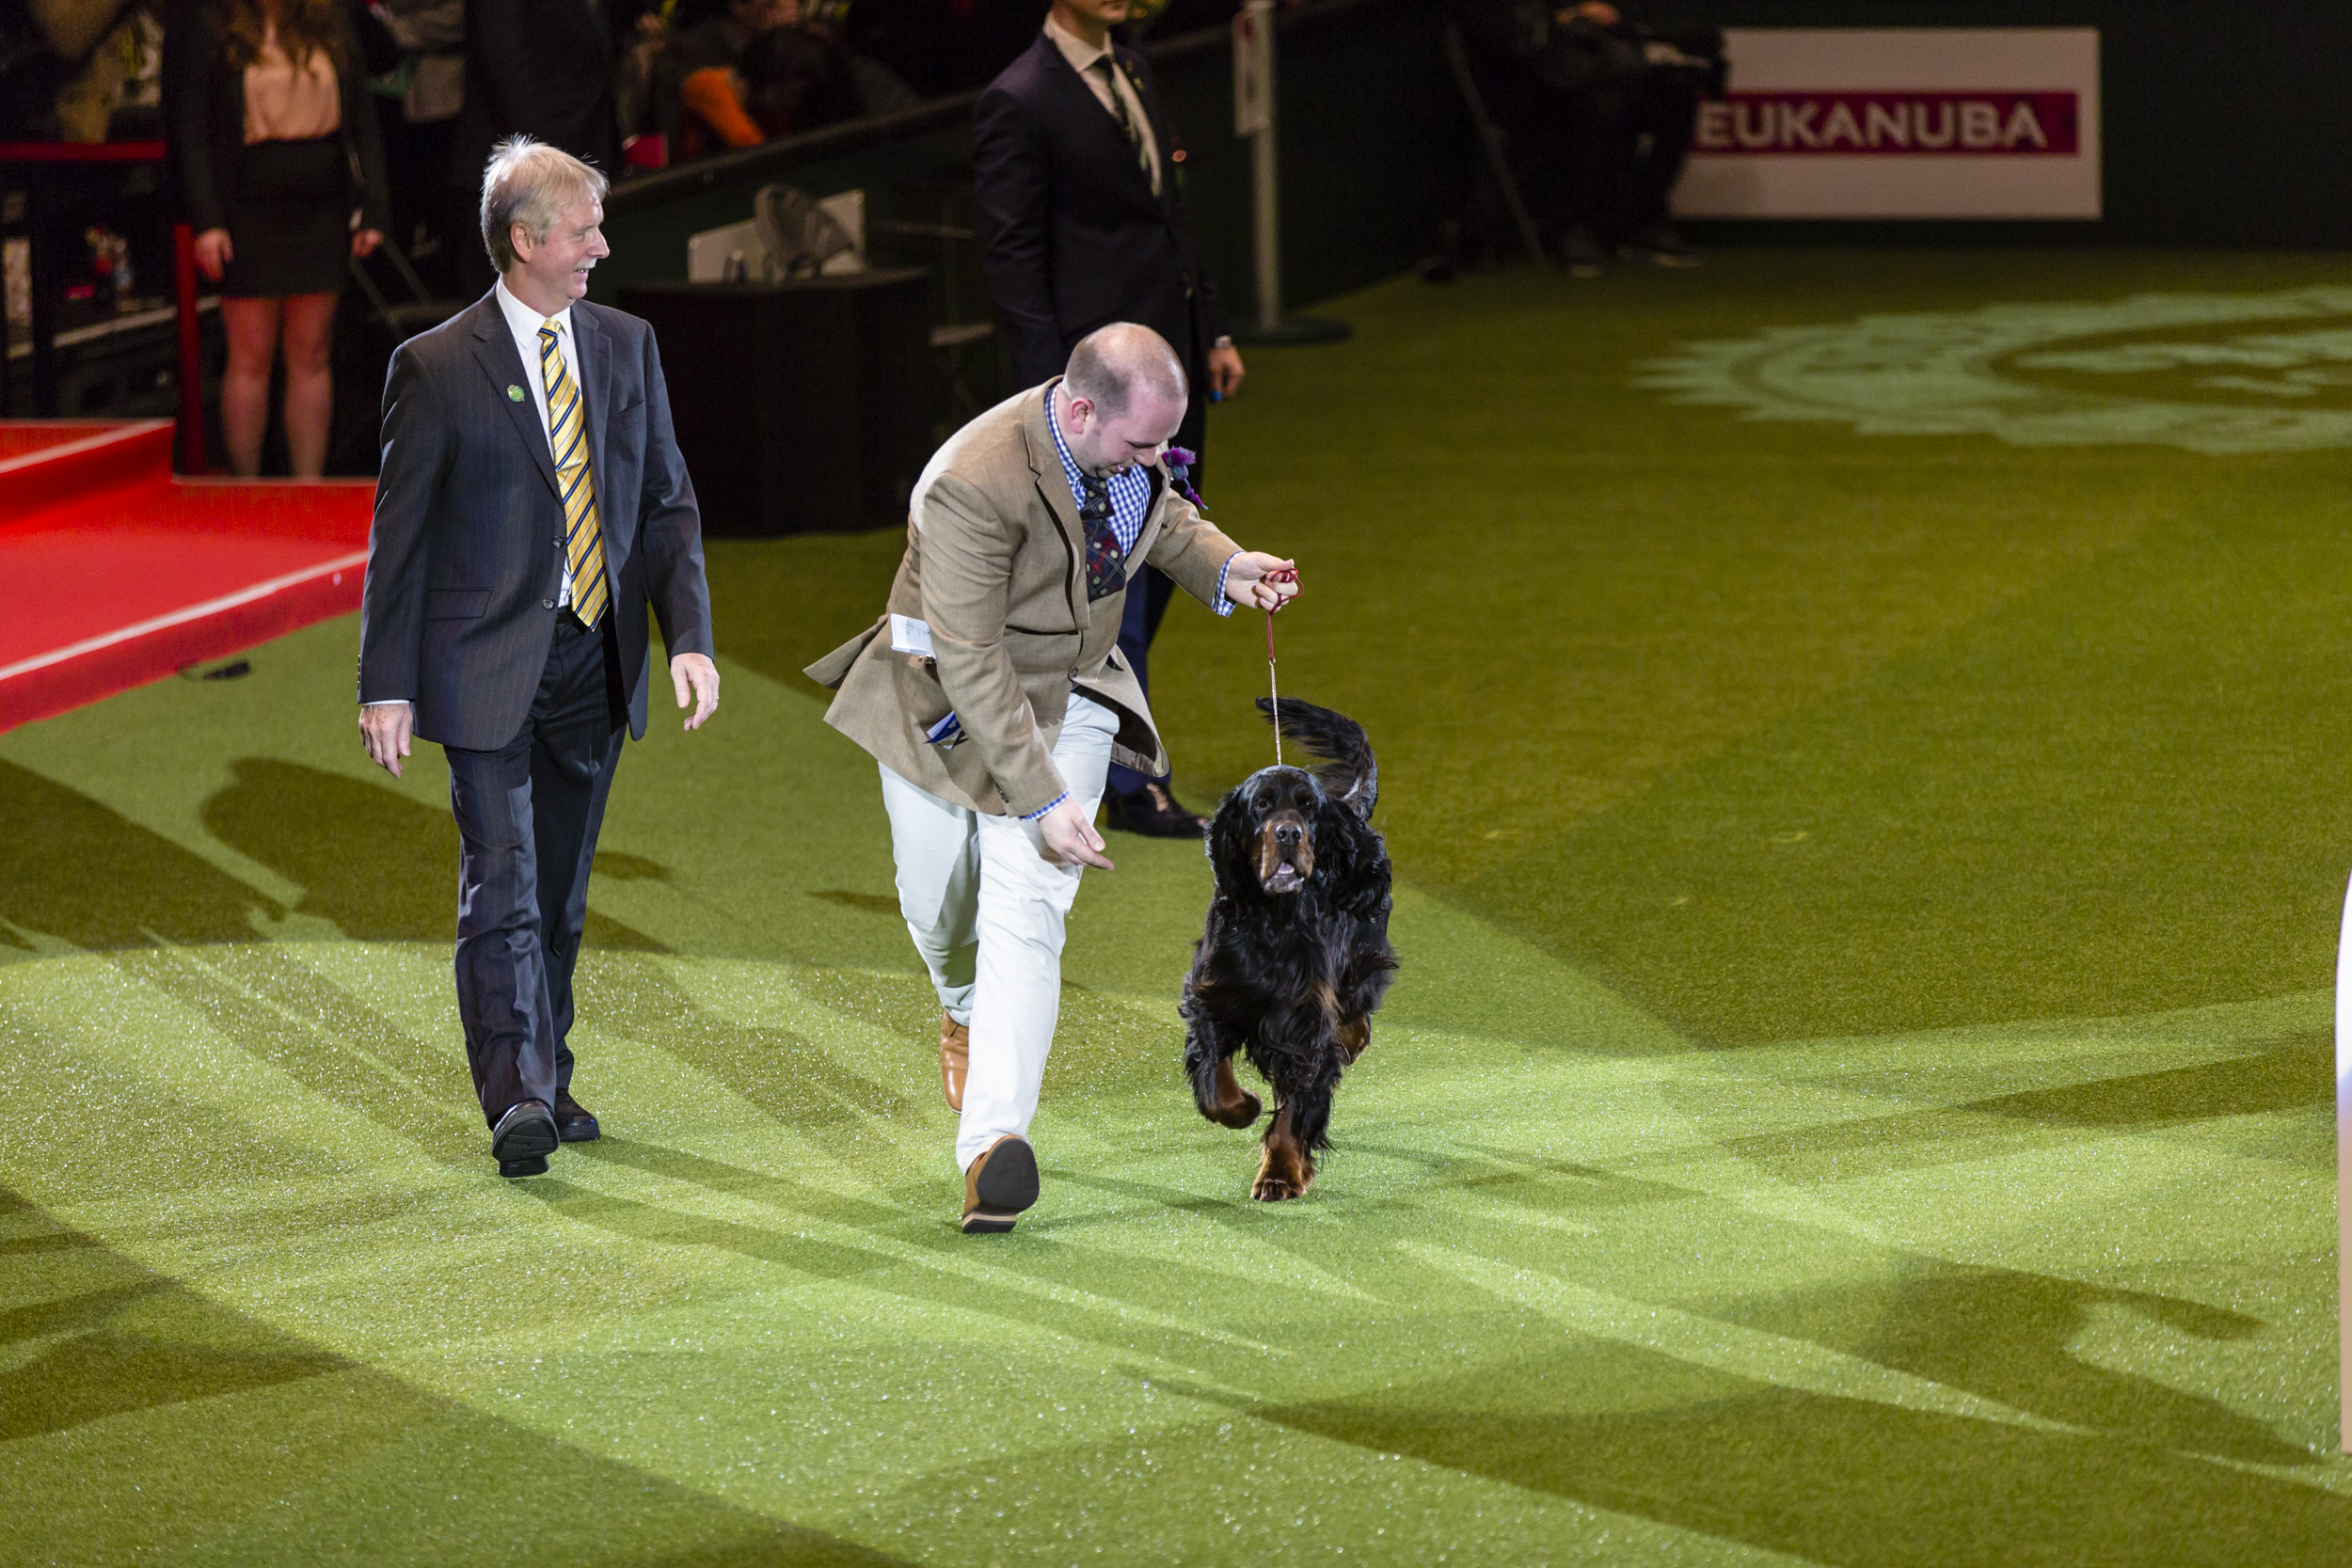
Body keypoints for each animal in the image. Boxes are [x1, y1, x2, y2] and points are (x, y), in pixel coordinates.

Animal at [1176, 700, 1392, 1203]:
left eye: (1308, 805)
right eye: (1261, 803)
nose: (1289, 834)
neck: (1272, 923)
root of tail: (1352, 806)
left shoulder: (1302, 1027)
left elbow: (1296, 1109)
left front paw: (1281, 1173)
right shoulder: (1213, 998)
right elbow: (1215, 1085)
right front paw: (1244, 1107)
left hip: (1361, 956)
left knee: (1356, 1009)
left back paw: (1351, 1040)